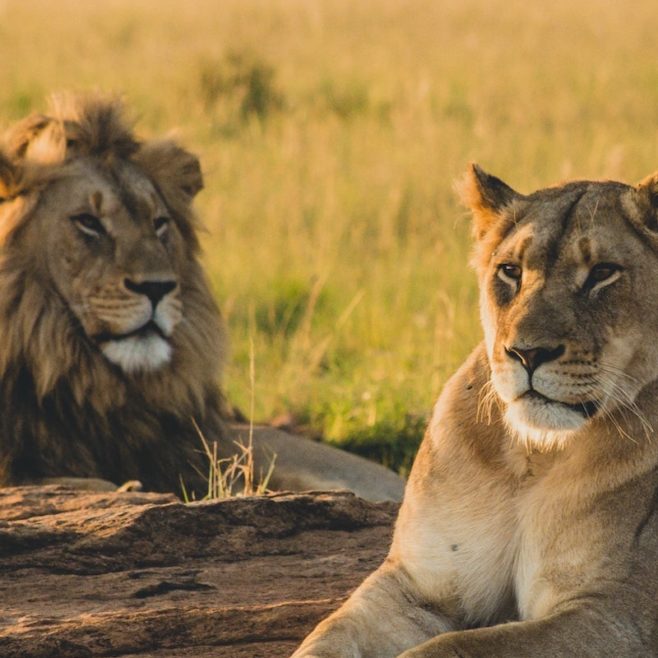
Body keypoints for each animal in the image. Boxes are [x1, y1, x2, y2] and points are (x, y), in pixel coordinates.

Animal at [294, 165, 656, 656]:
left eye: (603, 273)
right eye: (510, 271)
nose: (527, 353)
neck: (535, 456)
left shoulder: (618, 615)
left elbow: (453, 646)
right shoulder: (418, 585)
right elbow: (329, 635)